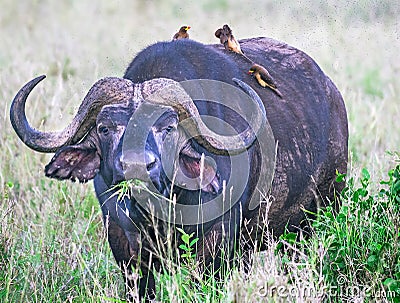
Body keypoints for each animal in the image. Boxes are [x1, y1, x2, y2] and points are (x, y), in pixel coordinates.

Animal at [8, 36, 346, 300]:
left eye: (168, 127)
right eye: (105, 128)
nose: (136, 166)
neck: (159, 213)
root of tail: (332, 95)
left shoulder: (216, 245)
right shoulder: (125, 247)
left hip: (316, 218)